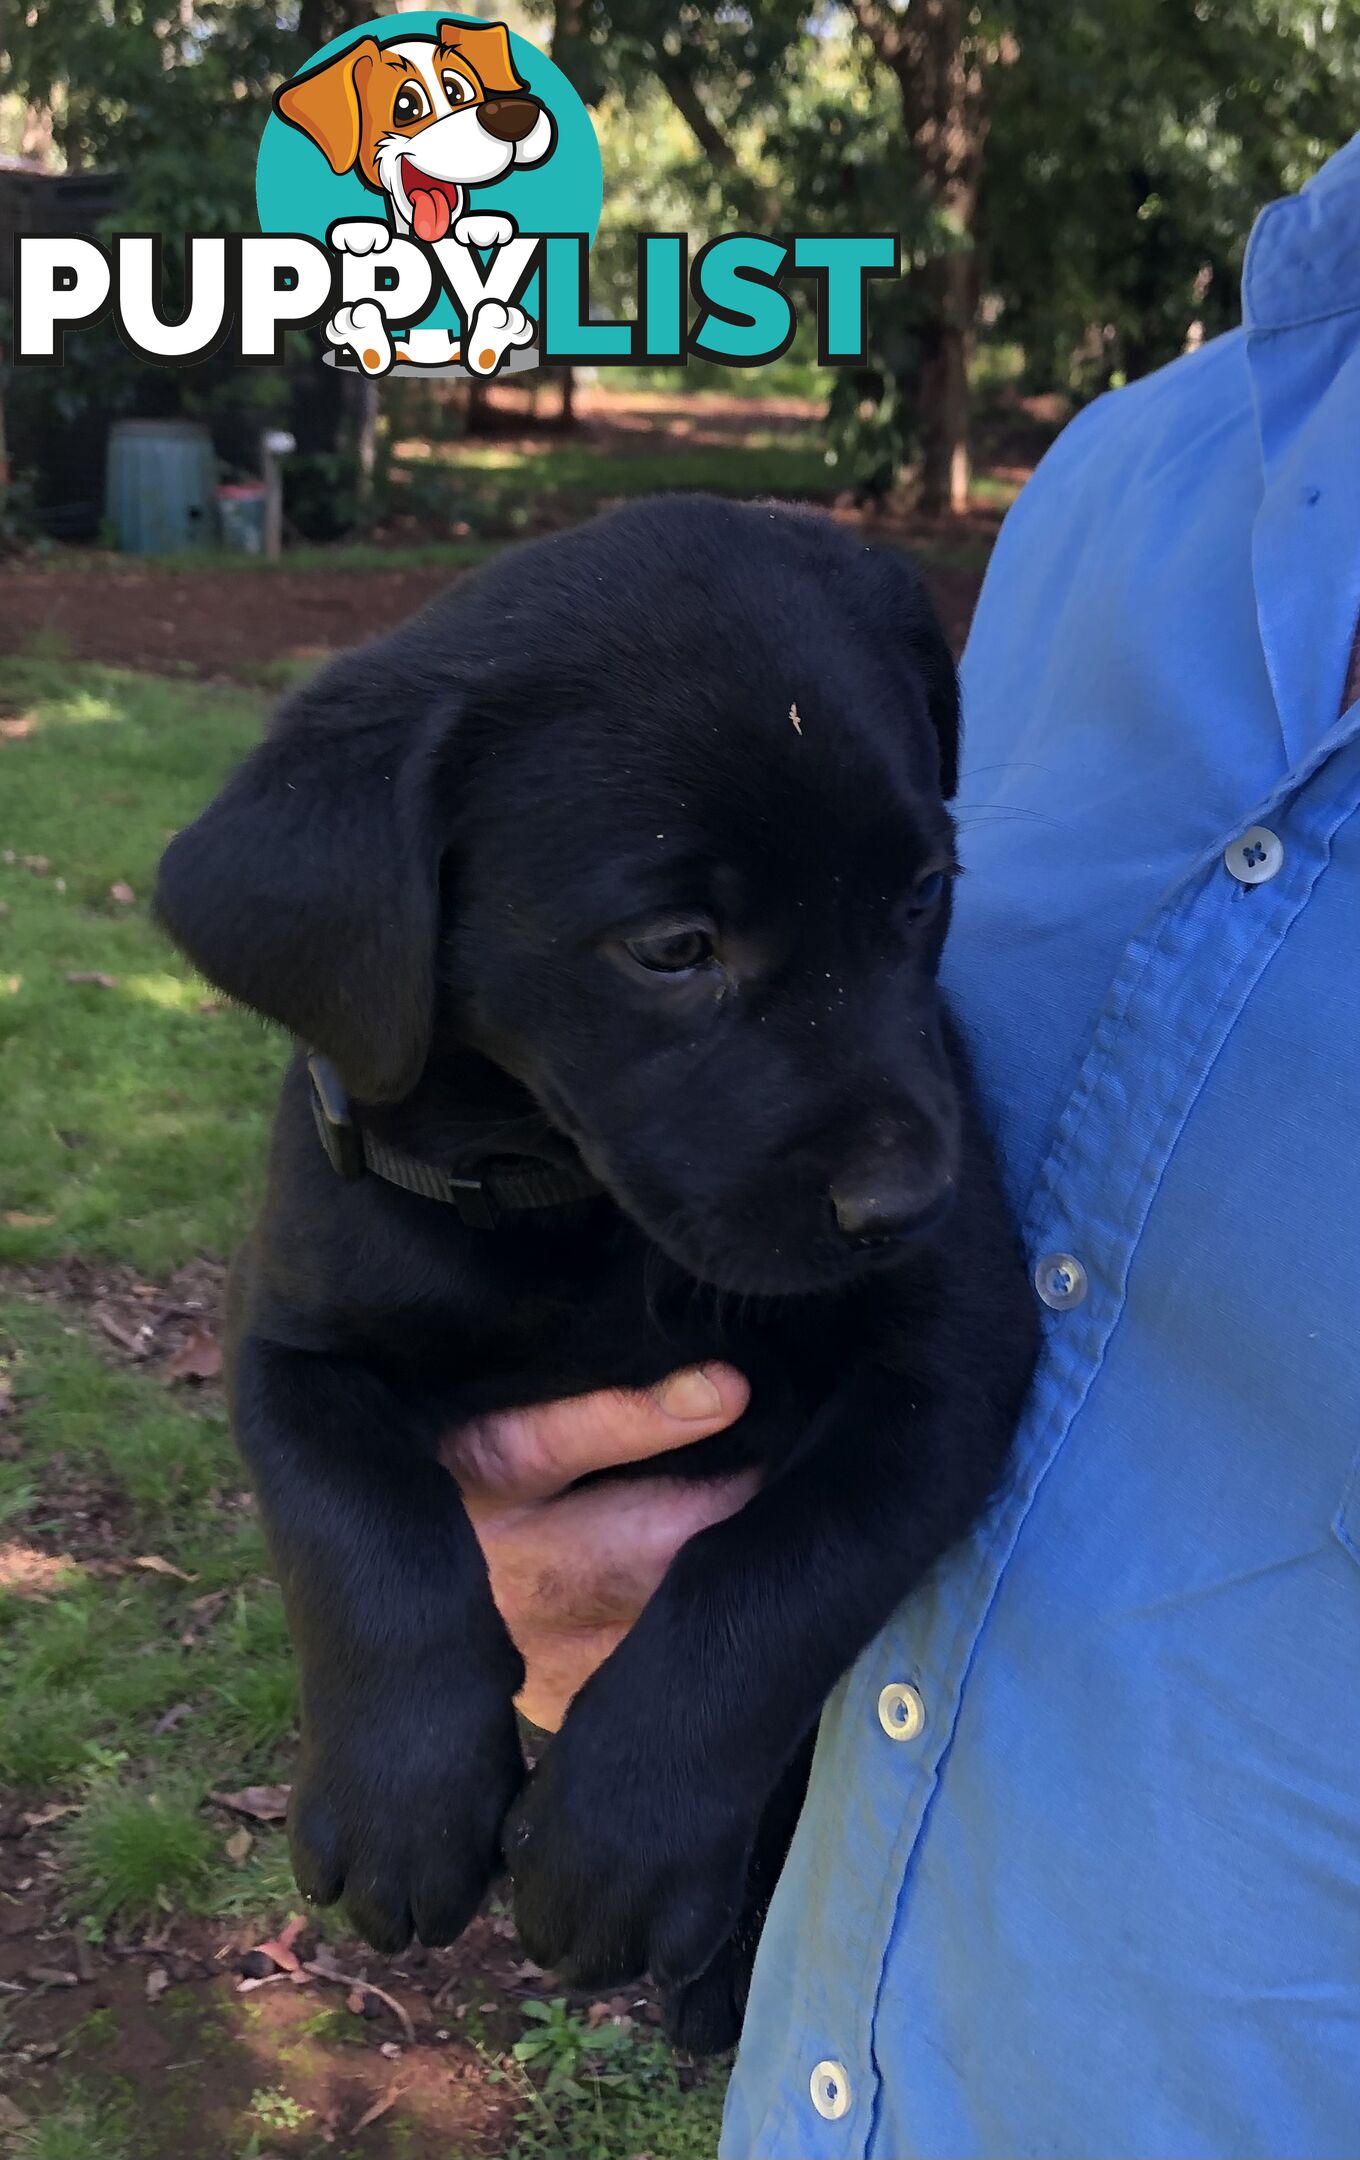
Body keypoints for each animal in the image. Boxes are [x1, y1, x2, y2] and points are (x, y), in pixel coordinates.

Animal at [154, 496, 1040, 2047]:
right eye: (674, 948)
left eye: (924, 893)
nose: (912, 1204)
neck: (569, 1206)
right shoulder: (288, 1345)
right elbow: (363, 1526)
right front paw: (399, 1802)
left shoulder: (955, 1362)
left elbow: (773, 1570)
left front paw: (621, 1841)